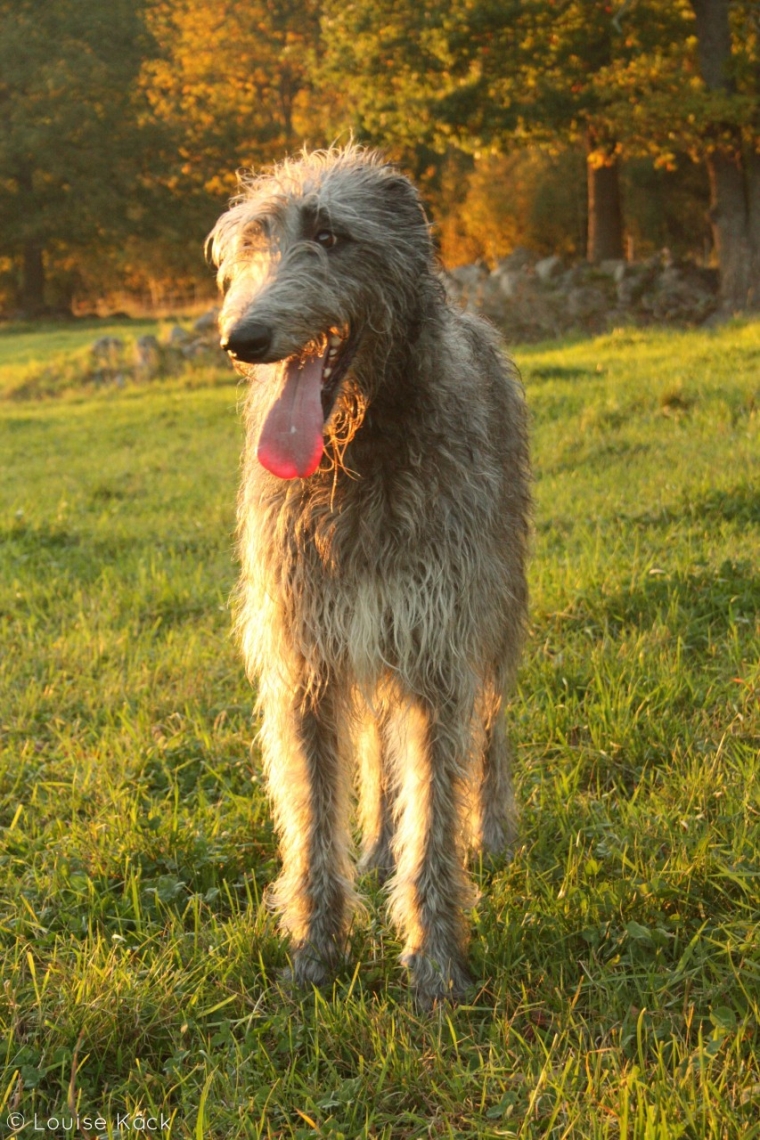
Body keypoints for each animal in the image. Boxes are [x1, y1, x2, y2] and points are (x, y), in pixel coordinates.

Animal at [208, 144, 528, 1007]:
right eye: (252, 240)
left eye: (330, 235)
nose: (242, 337)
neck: (357, 452)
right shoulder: (308, 658)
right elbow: (316, 823)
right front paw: (316, 956)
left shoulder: (439, 641)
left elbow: (438, 809)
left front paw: (437, 965)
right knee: (382, 743)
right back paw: (382, 843)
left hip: (497, 596)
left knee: (492, 722)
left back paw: (496, 828)